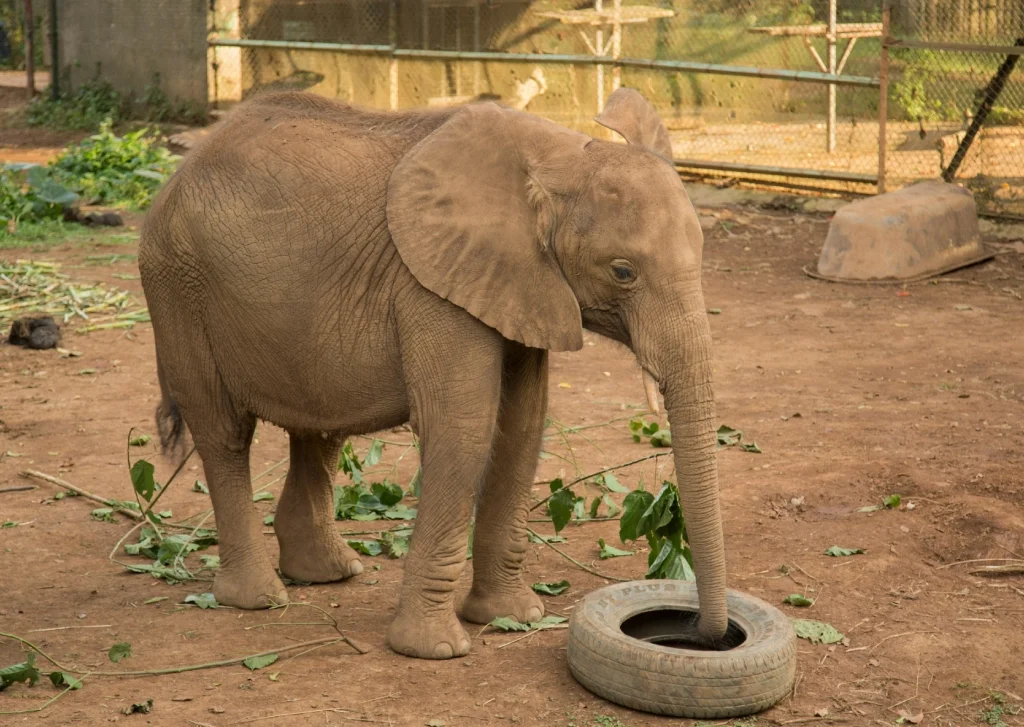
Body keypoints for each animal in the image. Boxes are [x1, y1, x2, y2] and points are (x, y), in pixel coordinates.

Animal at [138, 87, 726, 660]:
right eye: (622, 272)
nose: (701, 635)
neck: (560, 158)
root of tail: (184, 165)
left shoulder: (520, 284)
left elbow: (521, 428)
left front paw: (514, 617)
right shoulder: (432, 285)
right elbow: (462, 429)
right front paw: (435, 649)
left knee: (320, 431)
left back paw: (328, 574)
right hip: (176, 283)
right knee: (225, 434)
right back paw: (259, 599)